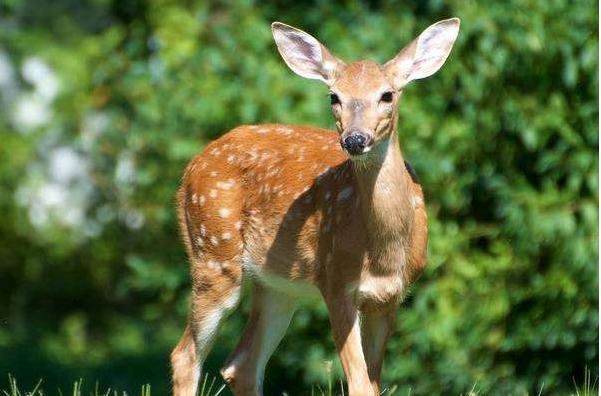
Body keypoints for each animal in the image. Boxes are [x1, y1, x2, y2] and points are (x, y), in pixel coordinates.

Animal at [171, 17, 462, 396]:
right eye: (334, 96)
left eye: (387, 94)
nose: (355, 139)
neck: (382, 252)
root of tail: (190, 168)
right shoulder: (335, 281)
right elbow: (359, 384)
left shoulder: (389, 297)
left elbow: (373, 383)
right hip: (214, 255)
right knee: (185, 356)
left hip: (277, 284)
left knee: (241, 364)